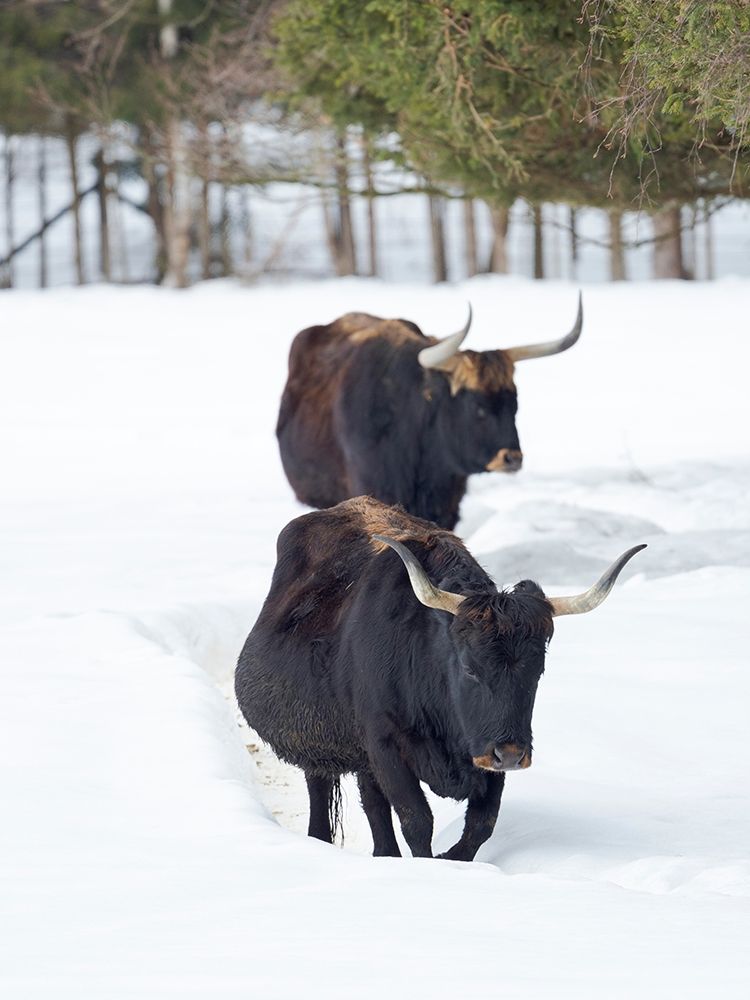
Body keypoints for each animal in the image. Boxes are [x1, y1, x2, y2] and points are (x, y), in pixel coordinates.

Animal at [235, 496, 644, 861]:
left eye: (537, 670)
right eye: (469, 667)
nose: (512, 755)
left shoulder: (483, 749)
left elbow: (481, 823)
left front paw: (452, 858)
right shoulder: (385, 744)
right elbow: (417, 820)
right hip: (315, 741)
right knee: (323, 794)